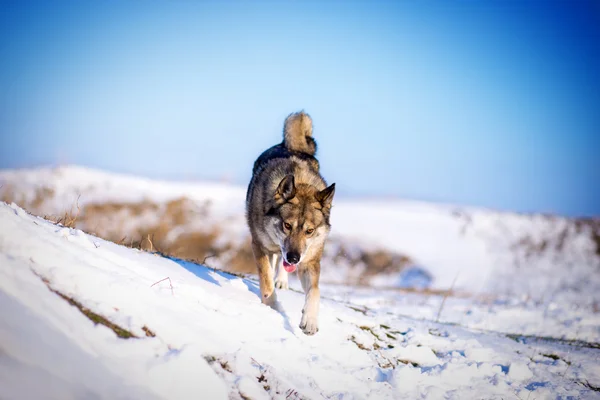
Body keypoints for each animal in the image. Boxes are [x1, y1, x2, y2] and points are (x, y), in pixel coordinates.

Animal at [246, 109, 336, 334]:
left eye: (309, 231)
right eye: (287, 225)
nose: (294, 258)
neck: (299, 180)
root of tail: (292, 146)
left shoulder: (310, 261)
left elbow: (315, 291)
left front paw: (310, 321)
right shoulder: (259, 246)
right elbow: (265, 281)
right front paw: (272, 307)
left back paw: (281, 280)